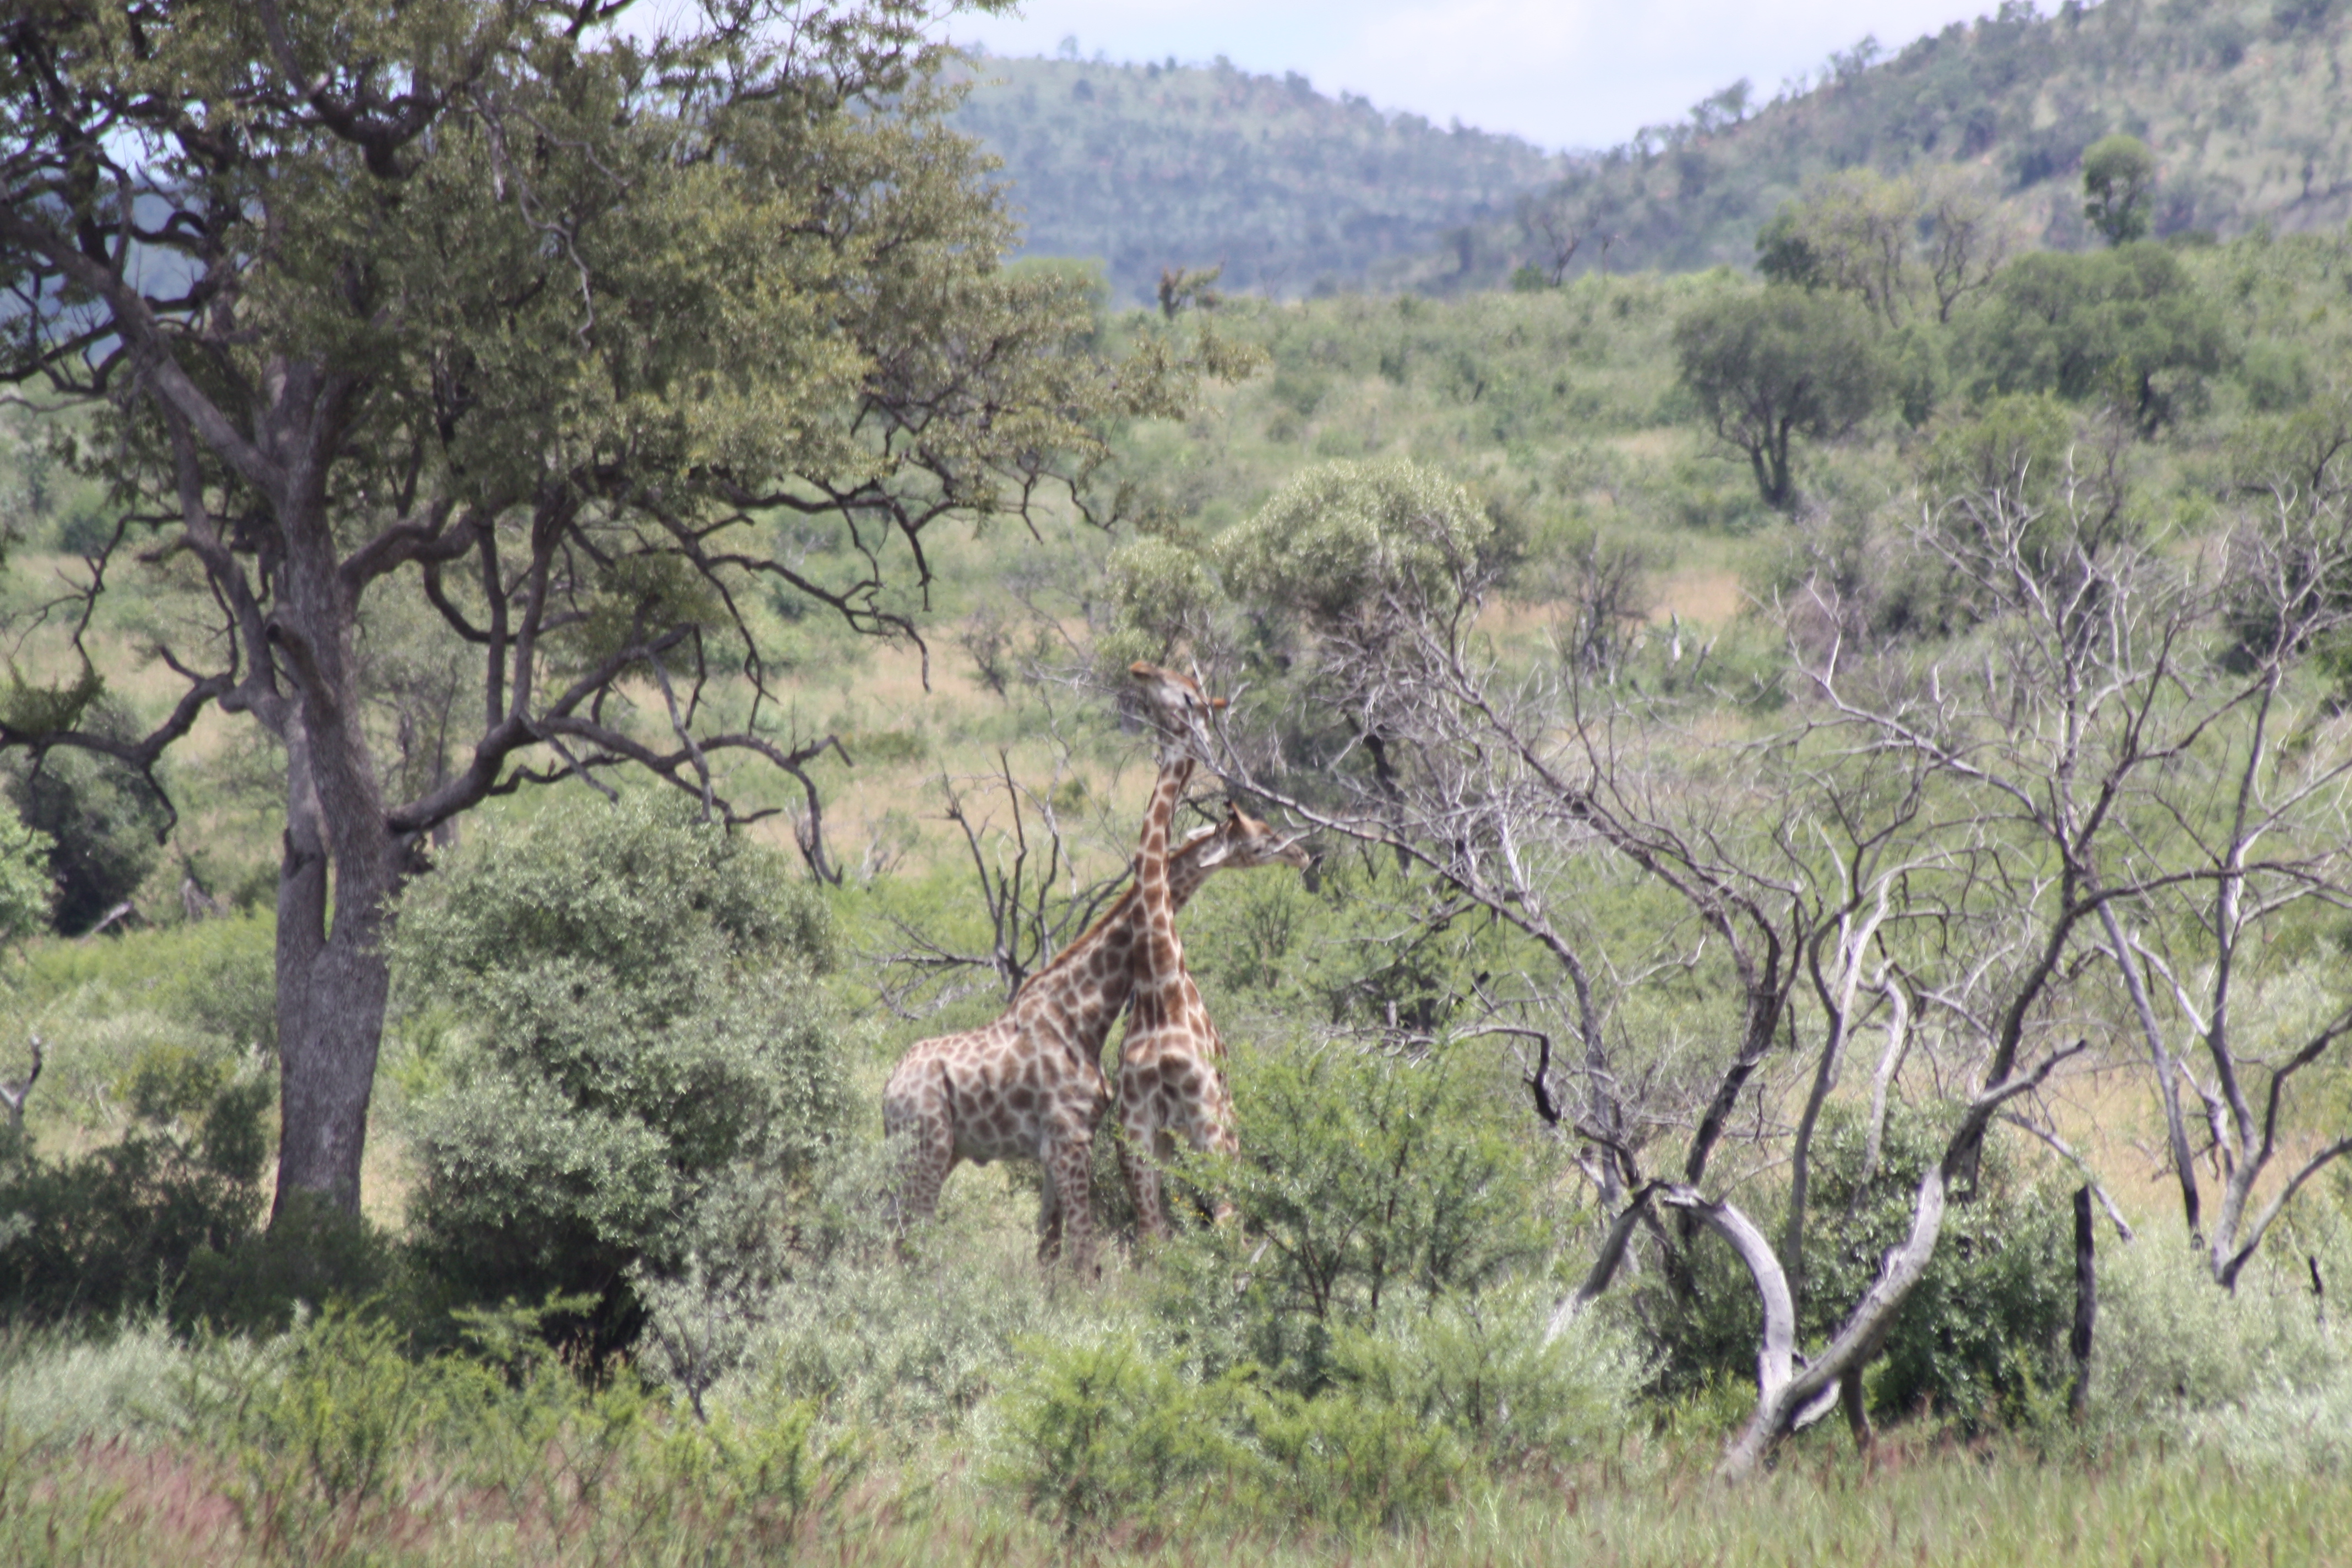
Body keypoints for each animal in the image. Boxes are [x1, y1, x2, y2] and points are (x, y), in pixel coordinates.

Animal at [882, 766, 1304, 1272]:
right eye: (1262, 838)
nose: (1303, 855)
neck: (1083, 1013)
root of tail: (888, 1090)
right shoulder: (1071, 1139)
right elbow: (1084, 1252)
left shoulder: (1061, 1146)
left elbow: (1051, 1247)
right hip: (929, 1146)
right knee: (911, 1236)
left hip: (934, 1152)